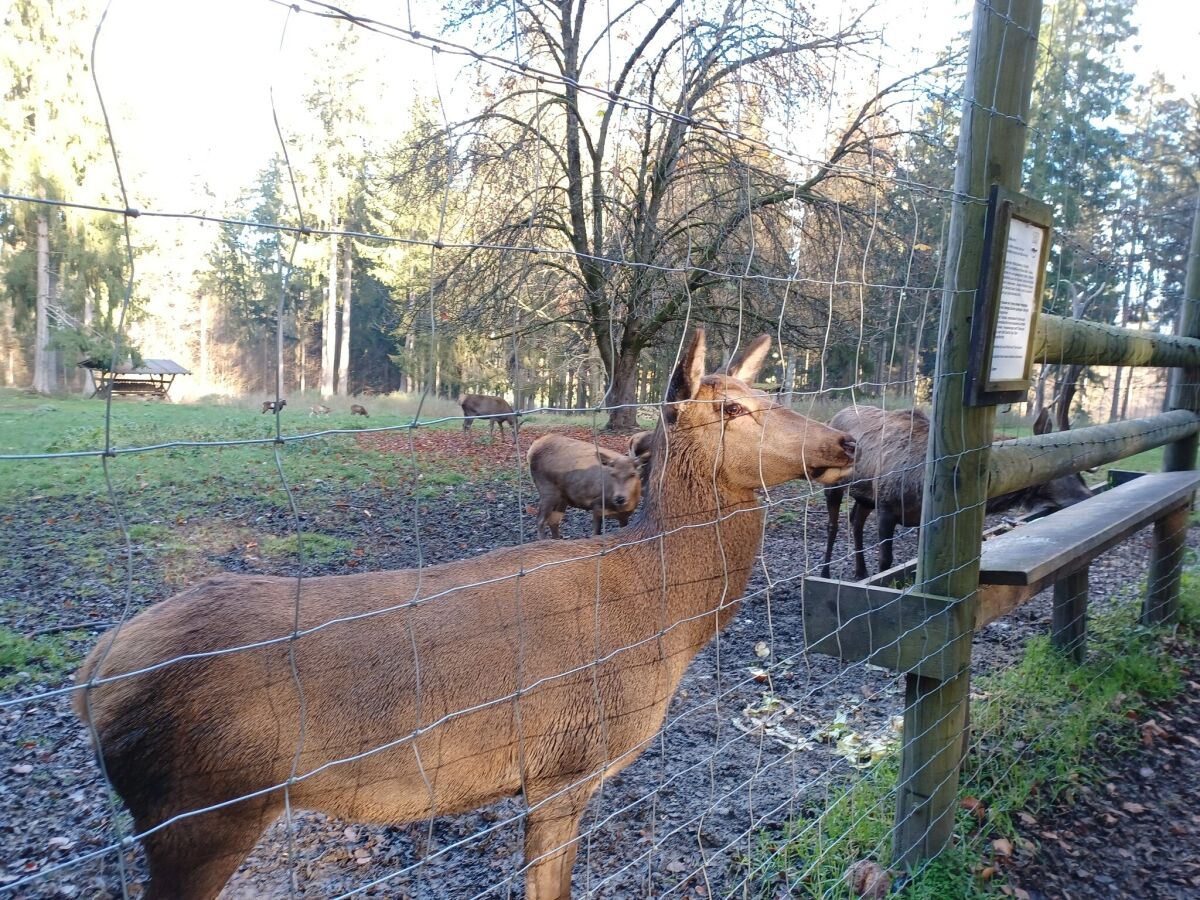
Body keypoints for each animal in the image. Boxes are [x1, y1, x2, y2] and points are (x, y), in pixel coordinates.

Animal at [72, 333, 854, 900]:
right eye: (732, 410)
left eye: (767, 392)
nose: (845, 442)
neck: (661, 619)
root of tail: (93, 673)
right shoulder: (565, 765)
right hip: (198, 812)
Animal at [820, 408, 1094, 580]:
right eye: (1068, 464)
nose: (1087, 496)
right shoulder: (887, 507)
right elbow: (886, 561)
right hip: (834, 487)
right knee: (833, 526)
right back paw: (825, 572)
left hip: (865, 496)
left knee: (855, 521)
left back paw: (860, 571)